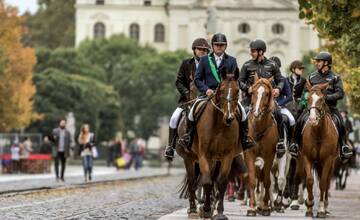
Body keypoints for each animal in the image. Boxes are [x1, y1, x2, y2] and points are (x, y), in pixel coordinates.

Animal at [188, 68, 242, 219]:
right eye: (221, 90)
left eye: (237, 90)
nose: (229, 118)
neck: (219, 123)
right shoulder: (204, 155)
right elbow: (207, 182)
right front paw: (206, 209)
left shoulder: (227, 156)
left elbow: (221, 182)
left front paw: (220, 212)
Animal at [302, 81, 338, 218]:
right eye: (308, 98)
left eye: (322, 99)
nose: (312, 119)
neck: (318, 134)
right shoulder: (307, 158)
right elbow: (309, 181)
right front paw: (309, 205)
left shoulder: (328, 160)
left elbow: (323, 183)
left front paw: (321, 210)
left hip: (331, 164)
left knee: (327, 182)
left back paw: (326, 206)